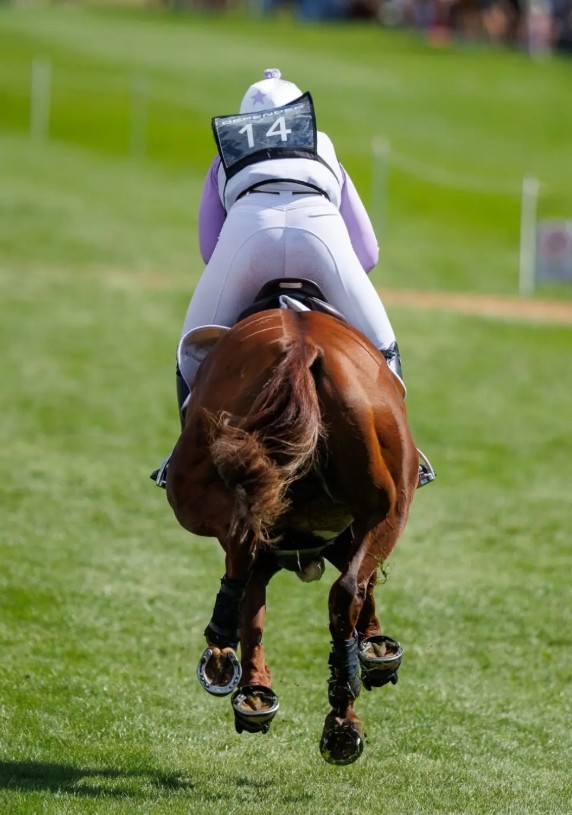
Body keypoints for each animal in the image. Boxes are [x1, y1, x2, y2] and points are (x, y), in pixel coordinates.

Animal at [166, 299, 419, 765]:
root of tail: (304, 347)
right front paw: (375, 652)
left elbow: (252, 604)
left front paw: (254, 690)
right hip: (388, 507)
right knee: (346, 589)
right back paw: (342, 721)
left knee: (249, 550)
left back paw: (225, 649)